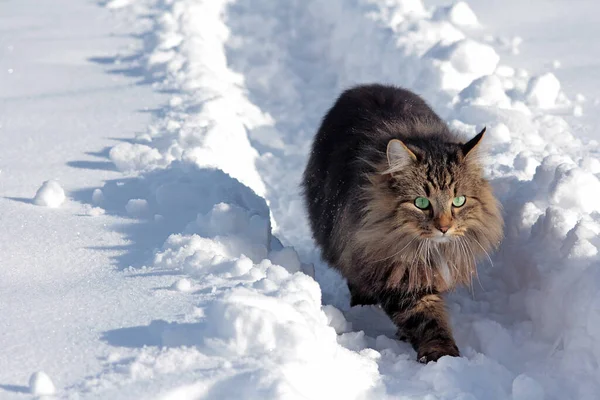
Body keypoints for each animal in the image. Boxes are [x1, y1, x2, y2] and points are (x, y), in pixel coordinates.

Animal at [302, 83, 504, 362]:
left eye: (459, 200)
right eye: (421, 203)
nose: (444, 227)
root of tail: (366, 86)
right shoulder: (393, 267)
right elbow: (424, 317)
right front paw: (441, 355)